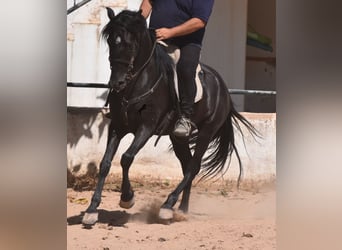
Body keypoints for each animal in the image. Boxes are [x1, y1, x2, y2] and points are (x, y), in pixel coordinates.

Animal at [82, 8, 256, 226]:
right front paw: (91, 210)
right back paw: (181, 210)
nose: (117, 83)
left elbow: (126, 158)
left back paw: (167, 206)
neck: (137, 84)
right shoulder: (117, 126)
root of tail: (223, 88)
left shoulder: (146, 127)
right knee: (187, 165)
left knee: (193, 167)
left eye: (131, 44)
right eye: (111, 42)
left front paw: (127, 198)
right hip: (178, 137)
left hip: (207, 131)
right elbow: (105, 163)